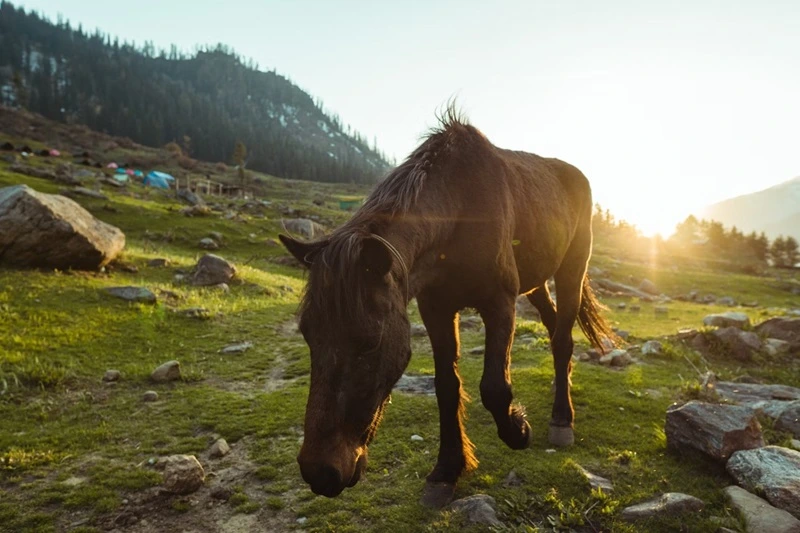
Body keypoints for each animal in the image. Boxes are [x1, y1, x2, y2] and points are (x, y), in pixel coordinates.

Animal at [282, 107, 612, 502]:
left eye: (370, 342)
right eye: (308, 334)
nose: (320, 472)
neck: (460, 212)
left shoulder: (499, 302)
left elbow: (494, 388)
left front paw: (518, 428)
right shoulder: (436, 309)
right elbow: (446, 386)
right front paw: (447, 469)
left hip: (571, 271)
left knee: (563, 339)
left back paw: (562, 420)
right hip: (535, 283)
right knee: (553, 328)